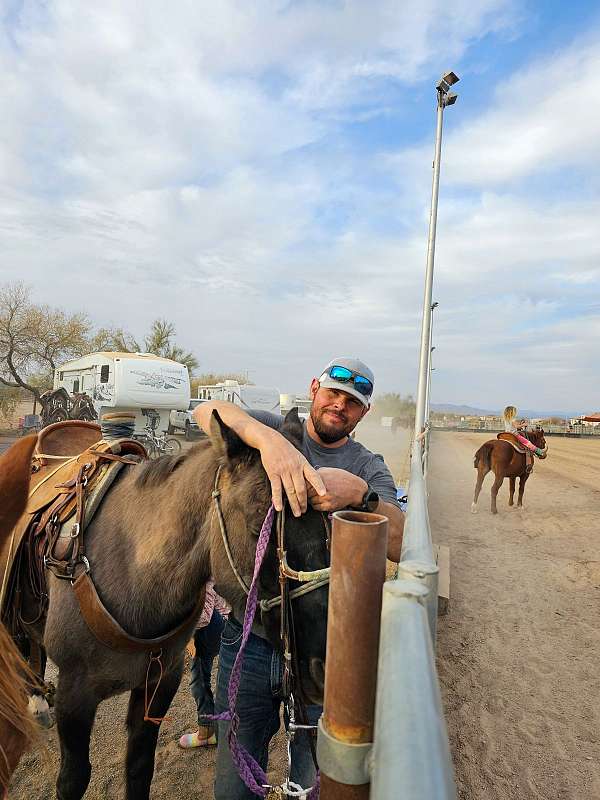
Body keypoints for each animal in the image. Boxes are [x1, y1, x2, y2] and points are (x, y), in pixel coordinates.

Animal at [4, 412, 328, 800]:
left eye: (327, 524)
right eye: (256, 528)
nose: (322, 667)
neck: (132, 572)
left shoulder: (161, 679)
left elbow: (139, 767)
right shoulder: (74, 693)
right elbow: (73, 779)